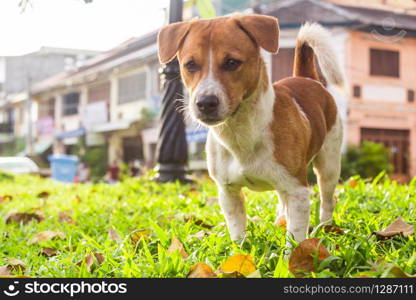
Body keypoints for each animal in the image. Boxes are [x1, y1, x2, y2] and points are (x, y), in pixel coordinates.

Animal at [158, 14, 342, 244]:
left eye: (231, 62)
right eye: (190, 65)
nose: (205, 102)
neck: (240, 133)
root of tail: (306, 78)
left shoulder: (297, 190)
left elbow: (296, 236)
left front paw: (295, 251)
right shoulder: (228, 192)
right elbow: (237, 230)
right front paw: (240, 249)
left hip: (328, 166)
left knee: (327, 199)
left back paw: (325, 227)